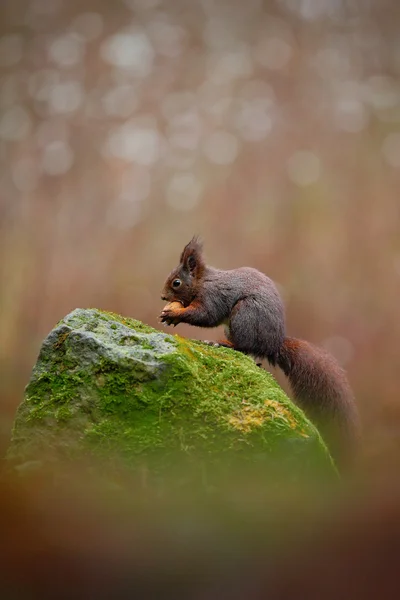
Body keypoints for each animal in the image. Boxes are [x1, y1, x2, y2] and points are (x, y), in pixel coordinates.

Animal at [161, 237, 360, 462]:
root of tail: (273, 344)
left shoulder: (212, 296)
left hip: (244, 315)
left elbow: (205, 315)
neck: (202, 282)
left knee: (244, 346)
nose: (163, 297)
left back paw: (223, 343)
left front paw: (176, 314)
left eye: (176, 283)